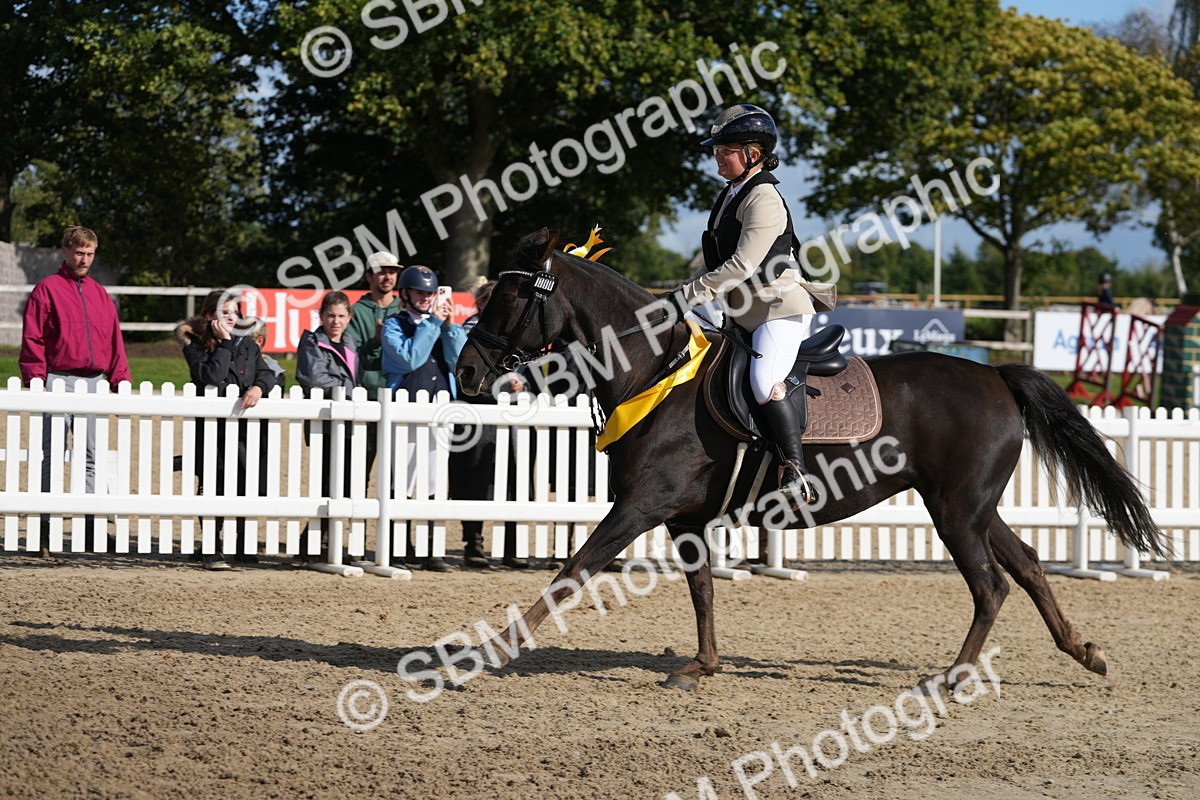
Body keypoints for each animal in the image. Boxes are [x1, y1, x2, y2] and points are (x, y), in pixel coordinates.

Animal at [454, 228, 1167, 693]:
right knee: (1028, 565)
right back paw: (1084, 652)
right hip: (973, 507)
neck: (655, 369)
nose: (465, 373)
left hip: (956, 511)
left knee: (991, 585)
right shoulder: (683, 518)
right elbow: (702, 588)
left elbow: (571, 572)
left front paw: (492, 652)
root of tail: (995, 374)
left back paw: (952, 677)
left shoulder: (638, 507)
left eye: (508, 300)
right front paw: (702, 666)